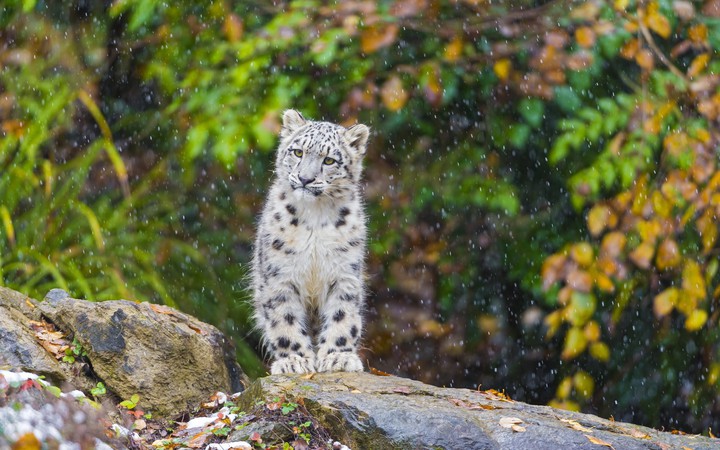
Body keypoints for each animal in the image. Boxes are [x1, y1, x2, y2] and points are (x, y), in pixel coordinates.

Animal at [251, 109, 370, 374]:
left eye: (329, 161)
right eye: (298, 152)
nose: (305, 178)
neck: (315, 215)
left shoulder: (344, 273)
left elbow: (343, 315)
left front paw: (338, 356)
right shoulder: (280, 275)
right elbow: (284, 318)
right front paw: (293, 360)